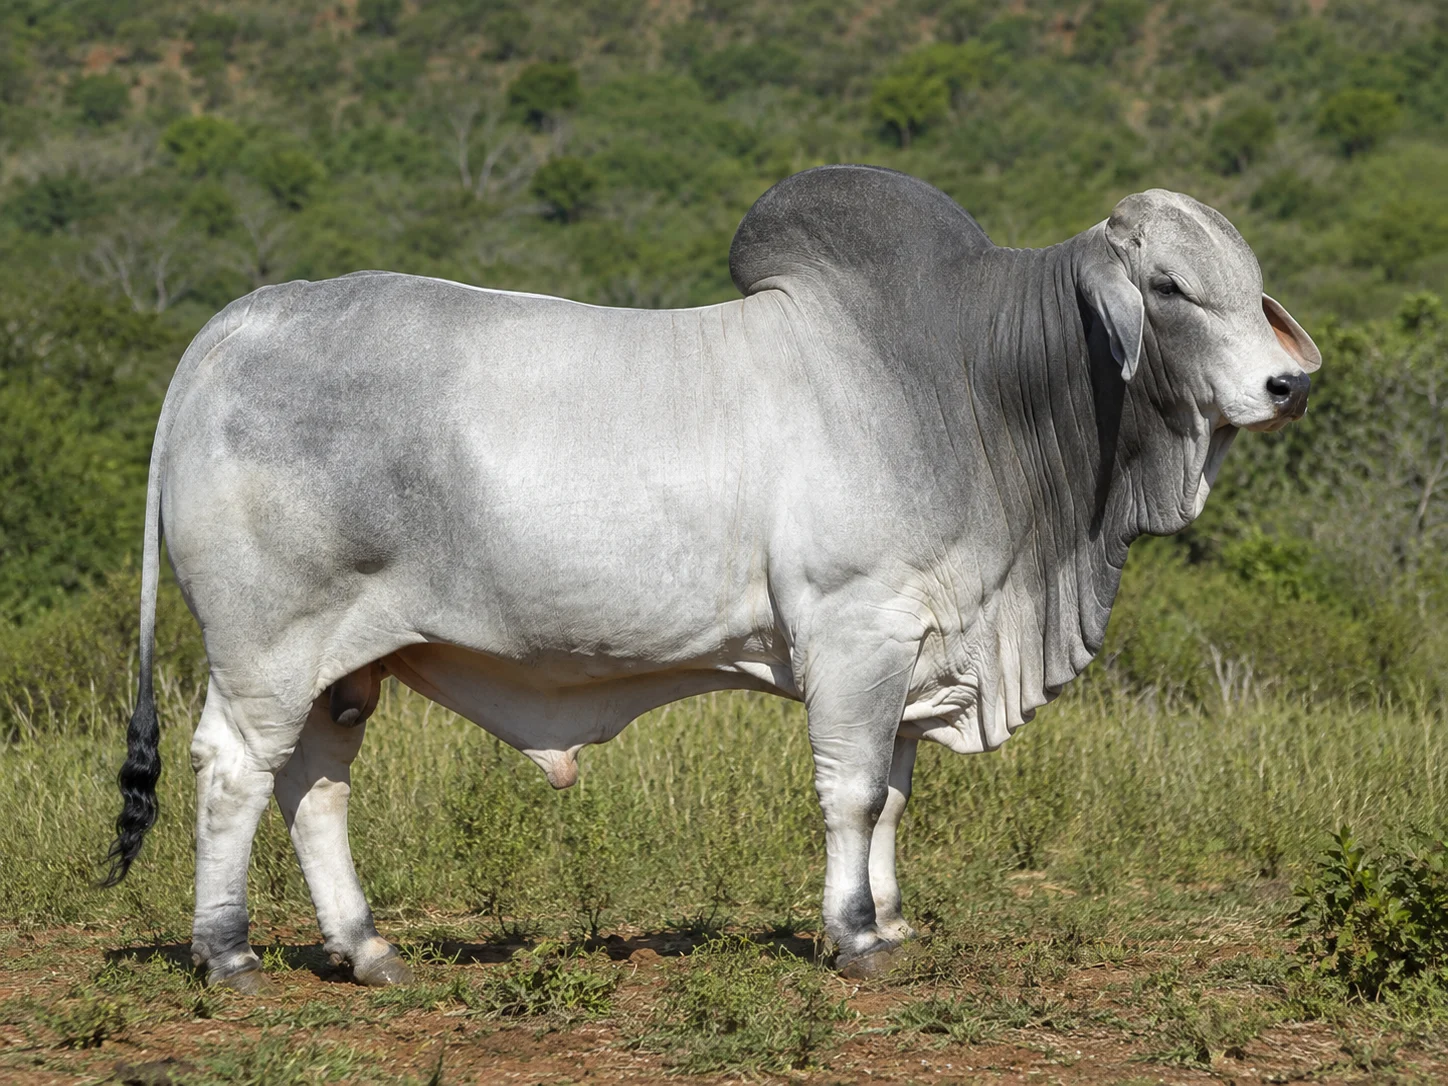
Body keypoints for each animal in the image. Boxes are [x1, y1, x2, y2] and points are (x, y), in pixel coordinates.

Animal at [104, 166, 1319, 990]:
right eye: (1169, 285)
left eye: (1251, 282)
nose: (1287, 384)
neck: (970, 386)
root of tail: (232, 327)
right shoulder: (854, 632)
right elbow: (852, 790)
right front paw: (850, 936)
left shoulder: (912, 651)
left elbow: (894, 794)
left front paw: (889, 920)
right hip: (267, 646)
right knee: (233, 772)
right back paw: (228, 954)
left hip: (346, 661)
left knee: (314, 784)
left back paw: (367, 948)